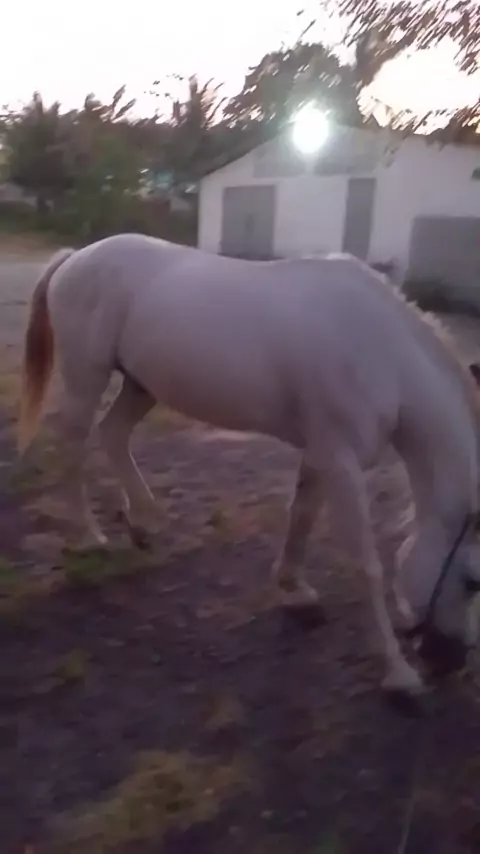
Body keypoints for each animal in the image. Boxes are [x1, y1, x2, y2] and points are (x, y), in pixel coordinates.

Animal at [17, 232, 480, 706]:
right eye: (472, 582)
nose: (453, 662)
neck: (381, 352)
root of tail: (78, 256)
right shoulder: (342, 461)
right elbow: (367, 565)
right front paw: (400, 674)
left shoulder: (320, 454)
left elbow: (302, 519)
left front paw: (295, 589)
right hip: (86, 377)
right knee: (73, 447)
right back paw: (90, 536)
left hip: (140, 385)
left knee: (113, 435)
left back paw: (144, 523)